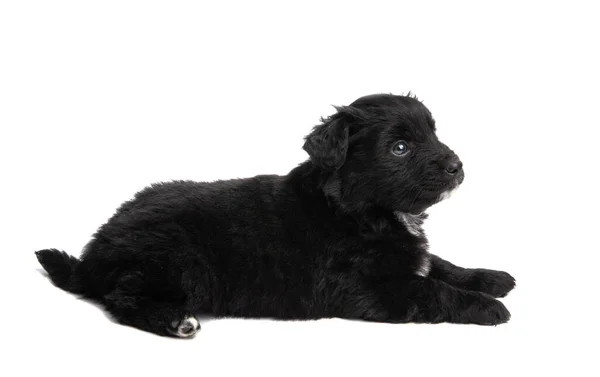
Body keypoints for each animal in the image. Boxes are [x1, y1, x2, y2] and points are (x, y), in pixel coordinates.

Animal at [36, 92, 516, 336]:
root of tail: (96, 251)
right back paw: (173, 320)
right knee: (121, 297)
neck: (358, 208)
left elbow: (438, 264)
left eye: (434, 132)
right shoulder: (370, 290)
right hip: (177, 261)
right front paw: (487, 306)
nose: (457, 166)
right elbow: (432, 289)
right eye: (400, 147)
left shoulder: (405, 258)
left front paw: (490, 278)